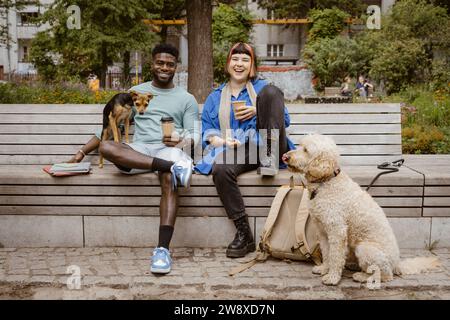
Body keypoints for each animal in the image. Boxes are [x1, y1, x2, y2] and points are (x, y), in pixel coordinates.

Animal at [284, 134, 438, 286]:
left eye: (306, 150)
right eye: (299, 145)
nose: (285, 156)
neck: (326, 182)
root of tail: (397, 264)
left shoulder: (337, 231)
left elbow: (335, 256)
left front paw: (333, 277)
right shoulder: (323, 231)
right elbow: (327, 253)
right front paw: (324, 269)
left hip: (365, 249)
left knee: (385, 275)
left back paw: (362, 276)